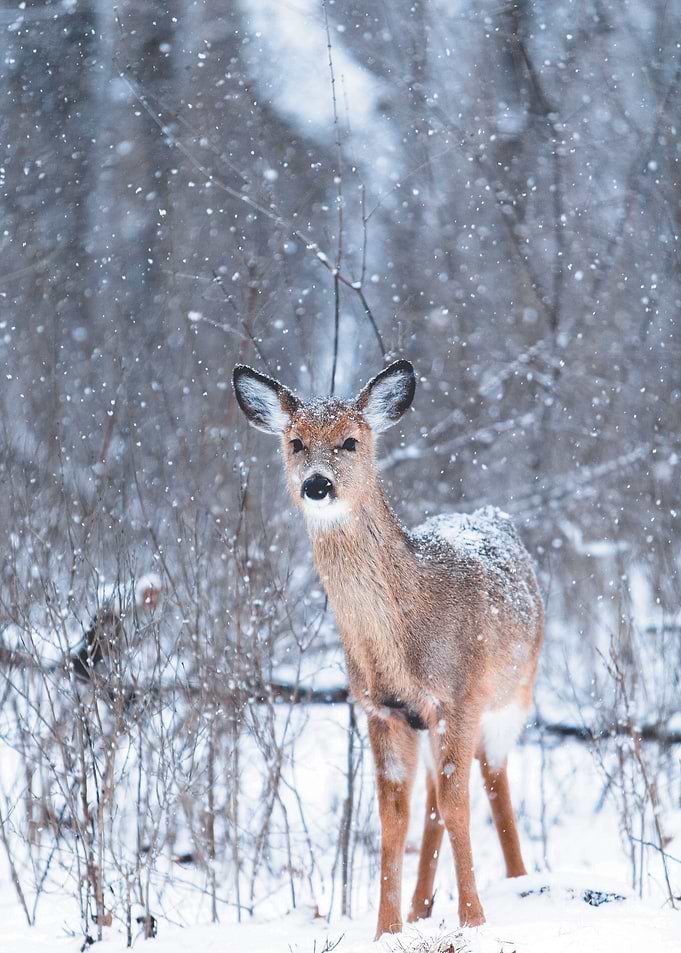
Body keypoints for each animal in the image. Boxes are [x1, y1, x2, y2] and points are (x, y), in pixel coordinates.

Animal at [232, 359, 544, 938]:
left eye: (351, 441)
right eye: (295, 442)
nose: (316, 484)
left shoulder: (459, 697)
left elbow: (459, 804)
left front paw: (474, 920)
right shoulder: (382, 709)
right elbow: (394, 817)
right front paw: (387, 929)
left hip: (514, 694)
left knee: (492, 780)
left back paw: (518, 879)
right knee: (433, 801)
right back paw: (422, 906)